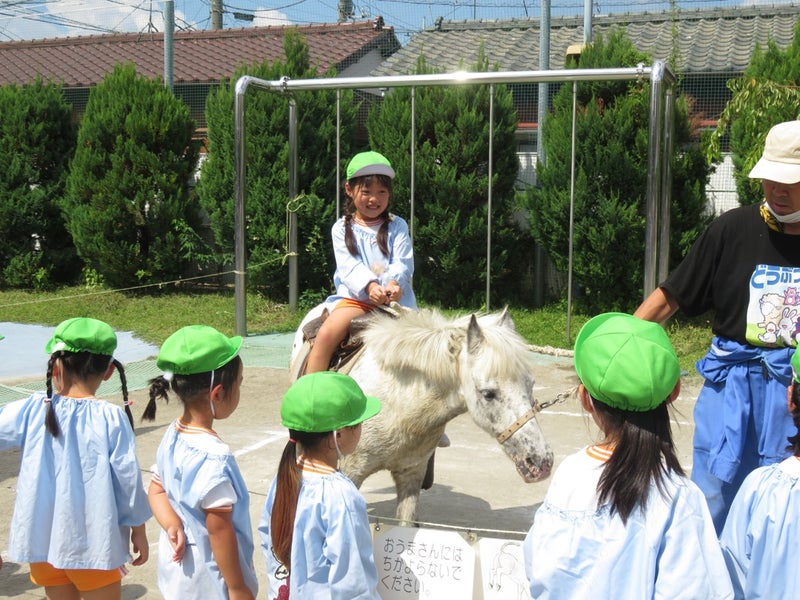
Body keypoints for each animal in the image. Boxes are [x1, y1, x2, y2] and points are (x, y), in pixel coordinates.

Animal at [290, 308, 552, 524]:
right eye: (488, 394)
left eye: (531, 384)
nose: (541, 462)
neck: (398, 403)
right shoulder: (351, 472)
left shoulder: (412, 474)